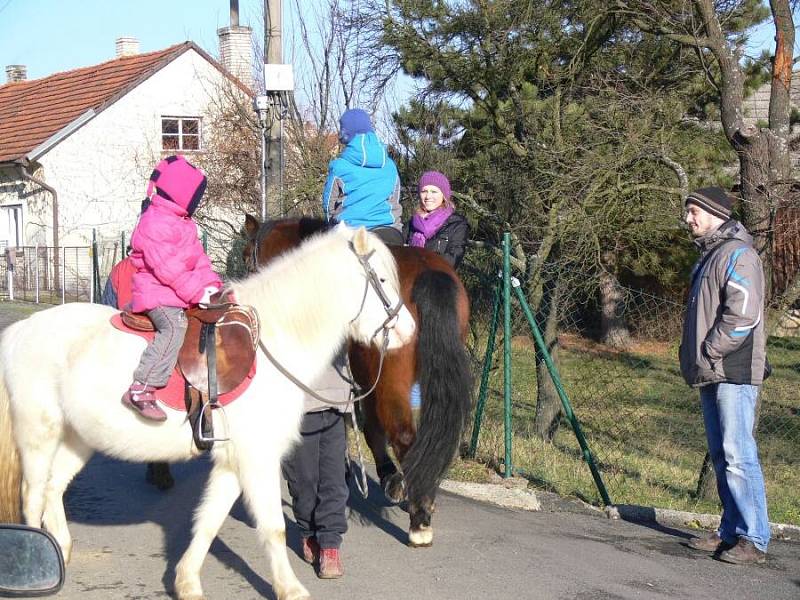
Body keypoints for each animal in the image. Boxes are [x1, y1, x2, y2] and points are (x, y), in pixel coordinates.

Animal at [0, 226, 412, 600]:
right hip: (39, 435)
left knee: (54, 488)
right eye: (383, 279)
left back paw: (61, 552)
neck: (273, 340)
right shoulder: (257, 456)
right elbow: (273, 527)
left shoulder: (232, 460)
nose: (408, 330)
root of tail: (19, 331)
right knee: (32, 496)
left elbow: (208, 523)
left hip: (78, 439)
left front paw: (187, 583)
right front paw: (290, 588)